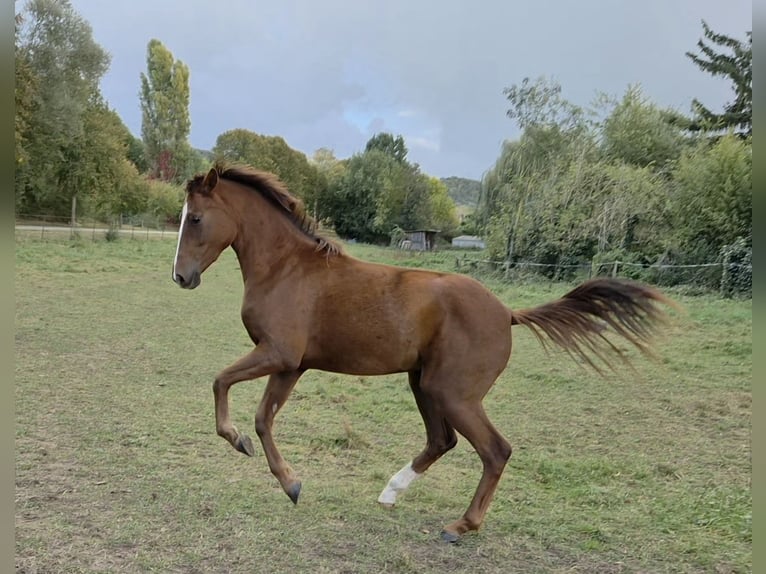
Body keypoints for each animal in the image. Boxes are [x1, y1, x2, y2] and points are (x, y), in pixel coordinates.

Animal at [171, 163, 673, 542]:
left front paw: (238, 440)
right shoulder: (291, 365)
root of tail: (506, 312)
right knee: (441, 441)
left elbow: (221, 382)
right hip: (424, 383)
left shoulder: (277, 354)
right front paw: (290, 482)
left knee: (495, 450)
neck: (286, 268)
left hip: (454, 393)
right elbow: (263, 418)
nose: (181, 278)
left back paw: (460, 526)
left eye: (194, 218)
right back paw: (390, 492)